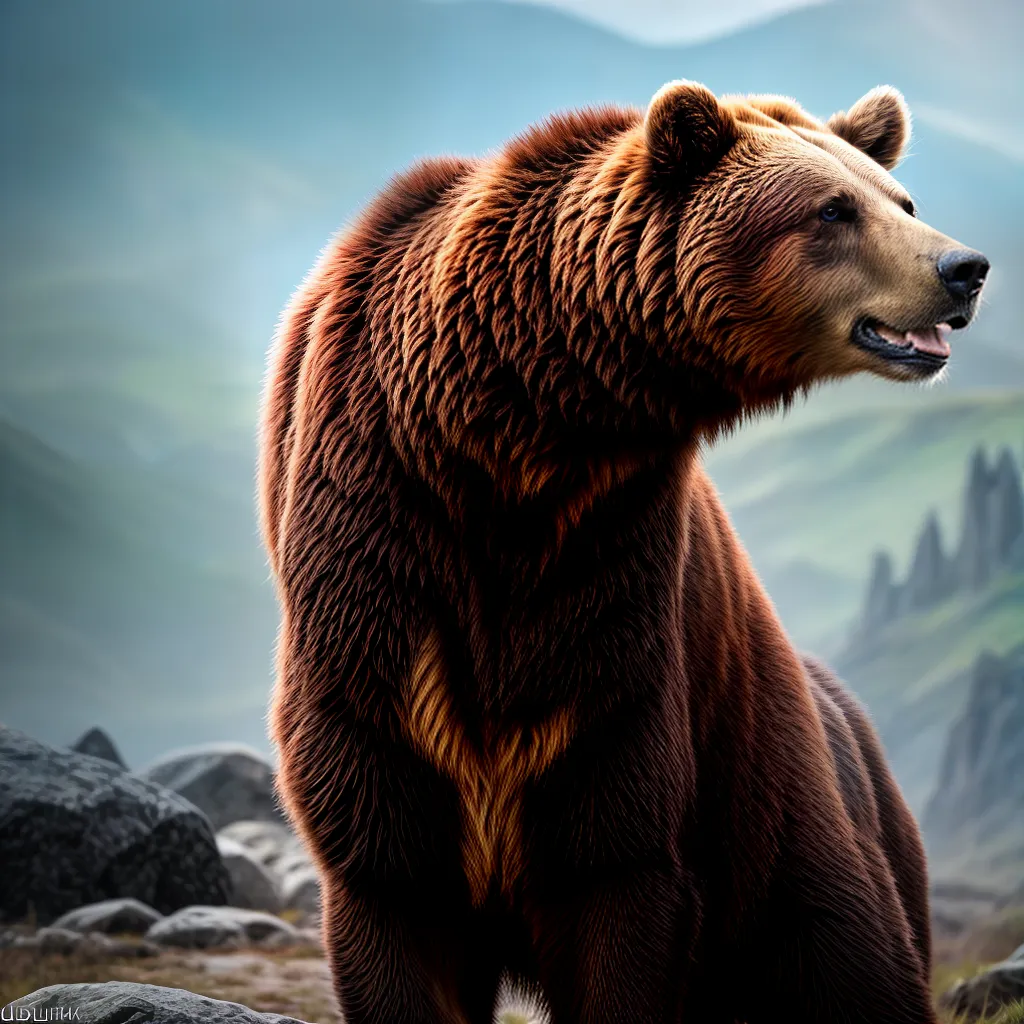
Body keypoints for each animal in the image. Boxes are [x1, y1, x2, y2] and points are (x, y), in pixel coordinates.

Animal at [258, 81, 989, 1024]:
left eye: (902, 201)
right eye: (834, 208)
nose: (964, 268)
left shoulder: (614, 583)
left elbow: (618, 853)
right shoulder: (381, 580)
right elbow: (392, 885)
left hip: (794, 825)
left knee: (845, 961)